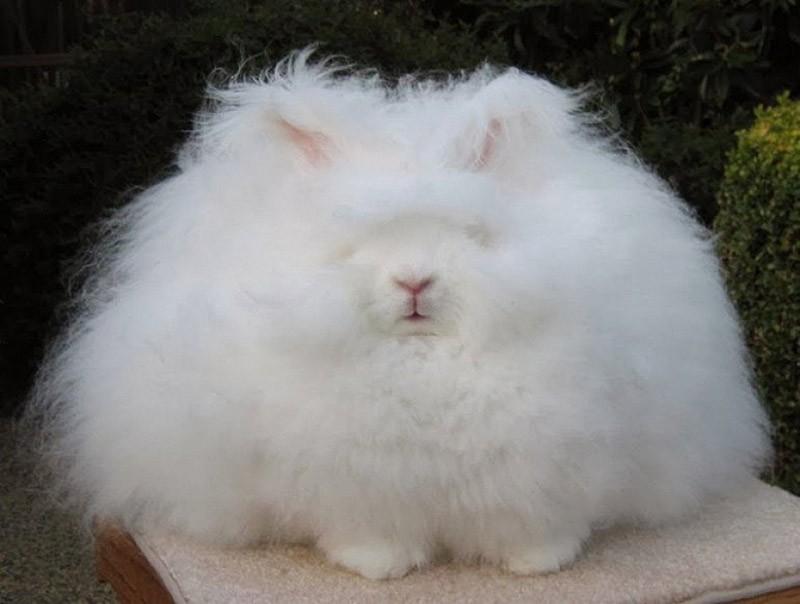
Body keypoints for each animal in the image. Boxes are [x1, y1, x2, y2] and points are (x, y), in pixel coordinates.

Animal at [28, 49, 771, 580]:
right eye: (353, 243)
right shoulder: (352, 481)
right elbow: (370, 530)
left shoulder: (555, 460)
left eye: (469, 235)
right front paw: (380, 568)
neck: (422, 358)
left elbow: (535, 520)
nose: (415, 281)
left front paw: (539, 564)